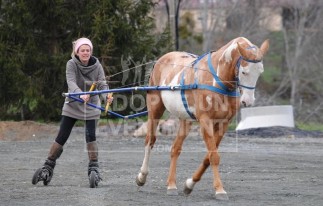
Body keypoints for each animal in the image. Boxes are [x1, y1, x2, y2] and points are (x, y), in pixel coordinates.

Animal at [135, 36, 270, 200]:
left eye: (260, 72)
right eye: (244, 72)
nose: (248, 101)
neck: (217, 80)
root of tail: (161, 60)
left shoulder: (224, 123)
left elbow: (208, 157)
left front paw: (189, 184)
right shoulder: (205, 121)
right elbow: (214, 156)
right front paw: (220, 190)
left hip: (186, 120)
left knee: (175, 149)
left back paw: (171, 185)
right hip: (155, 109)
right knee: (150, 140)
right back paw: (142, 176)